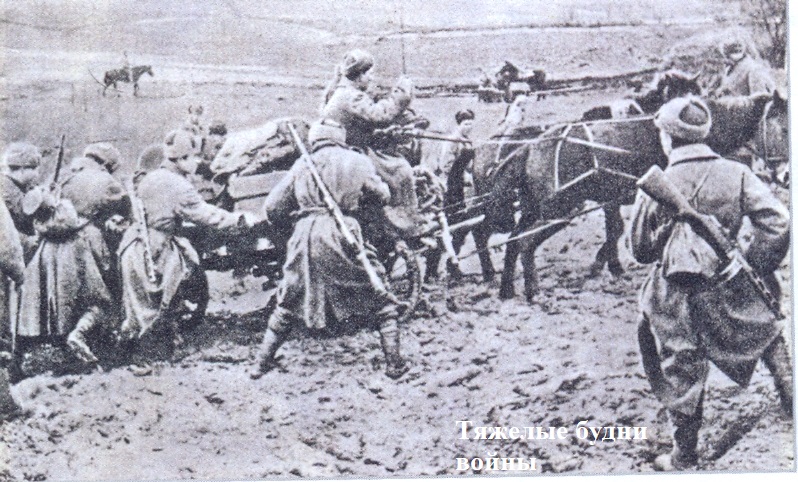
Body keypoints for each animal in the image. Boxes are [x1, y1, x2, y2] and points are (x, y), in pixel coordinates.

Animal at [472, 74, 780, 304]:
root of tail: (528, 147)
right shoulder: (619, 198)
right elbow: (618, 230)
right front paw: (609, 266)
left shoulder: (614, 198)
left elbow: (615, 230)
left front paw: (608, 265)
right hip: (559, 208)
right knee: (518, 240)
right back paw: (530, 289)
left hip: (535, 207)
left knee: (513, 239)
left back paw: (506, 288)